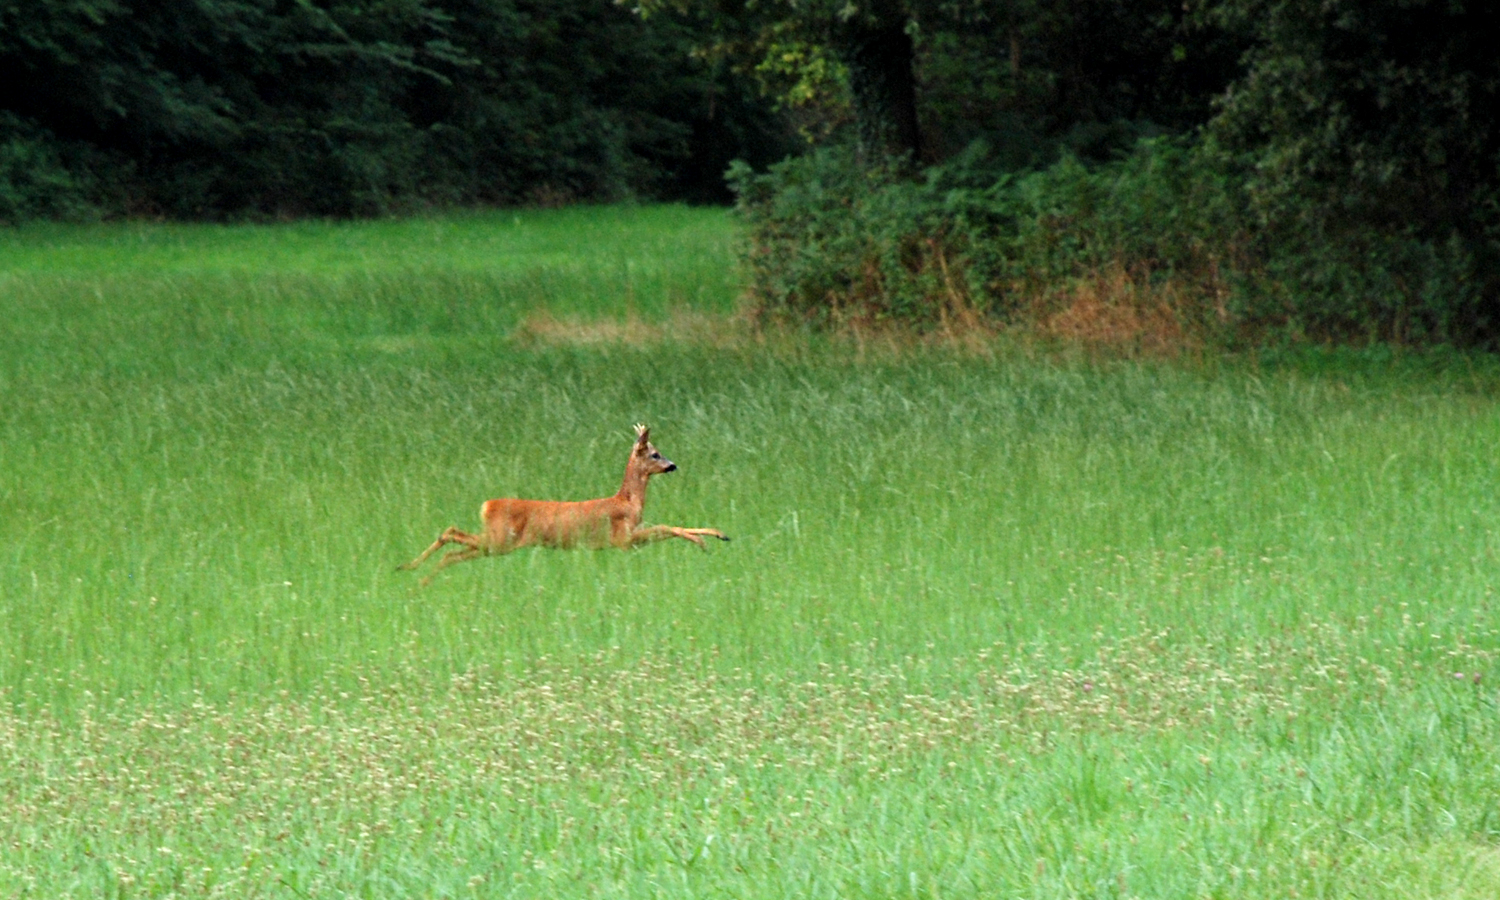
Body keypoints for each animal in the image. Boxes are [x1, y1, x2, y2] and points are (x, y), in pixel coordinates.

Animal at [399, 426, 726, 579]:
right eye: (655, 453)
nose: (673, 465)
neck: (628, 503)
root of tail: (486, 505)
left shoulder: (628, 538)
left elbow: (668, 527)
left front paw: (720, 534)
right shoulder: (622, 538)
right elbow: (667, 527)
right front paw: (703, 542)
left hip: (496, 542)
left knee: (452, 542)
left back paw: (413, 574)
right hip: (500, 540)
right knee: (451, 538)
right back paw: (415, 575)